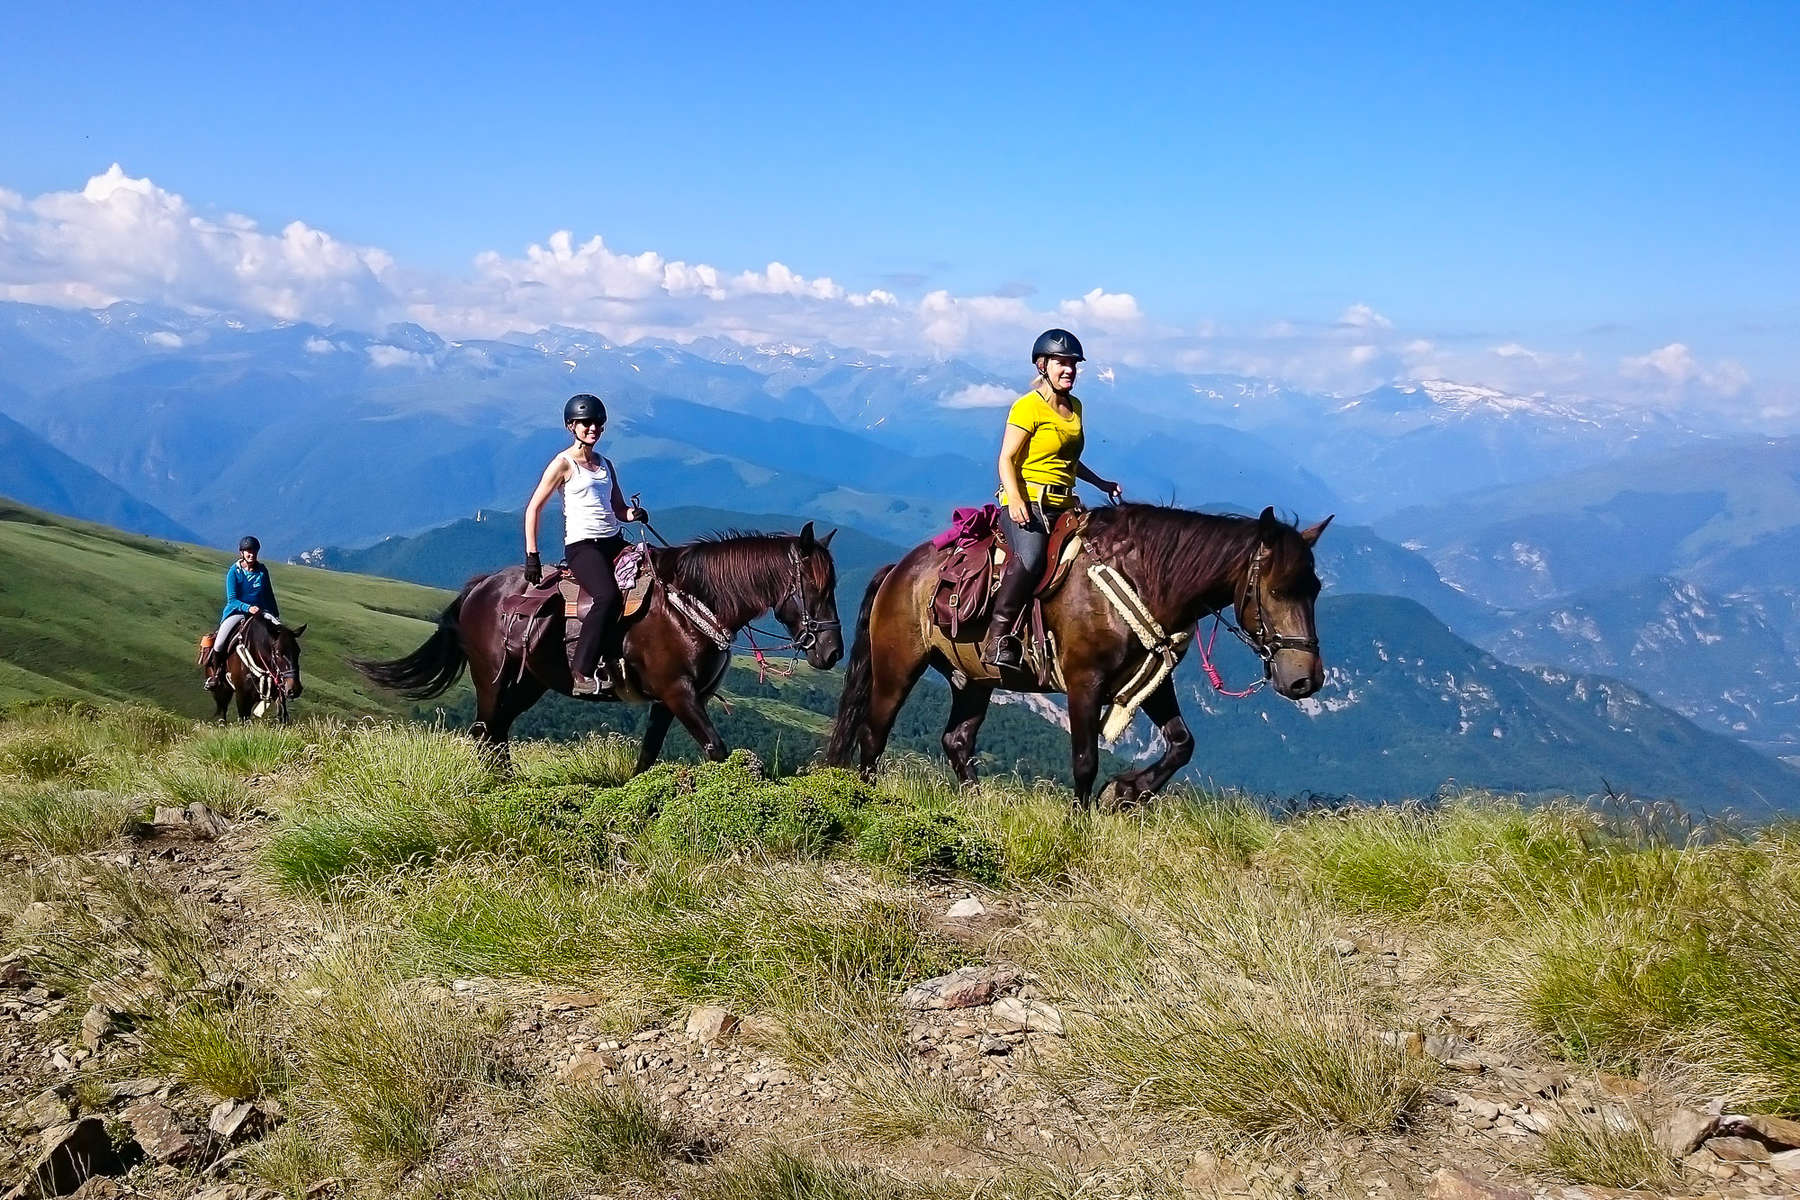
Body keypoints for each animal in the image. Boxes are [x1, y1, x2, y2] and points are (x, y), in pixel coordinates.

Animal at [363, 521, 849, 770]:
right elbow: (716, 749)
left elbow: (648, 756)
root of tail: (480, 588)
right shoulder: (679, 693)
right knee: (486, 734)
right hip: (491, 680)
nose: (832, 653)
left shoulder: (671, 700)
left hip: (529, 684)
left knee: (498, 733)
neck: (693, 603)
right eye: (815, 586)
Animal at [824, 503, 1324, 813]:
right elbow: (1085, 760)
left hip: (974, 679)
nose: (1306, 680)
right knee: (874, 733)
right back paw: (867, 799)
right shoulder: (1085, 683)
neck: (1139, 580)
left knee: (956, 740)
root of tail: (900, 570)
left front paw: (1125, 793)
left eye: (1315, 589)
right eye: (1276, 591)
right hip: (897, 667)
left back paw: (976, 805)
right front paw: (1080, 823)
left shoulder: (1150, 680)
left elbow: (1182, 744)